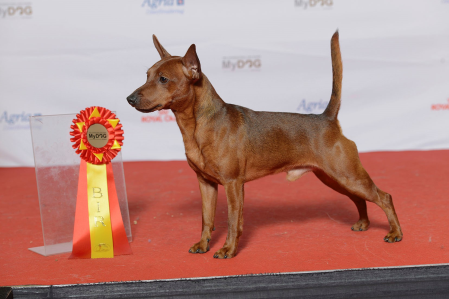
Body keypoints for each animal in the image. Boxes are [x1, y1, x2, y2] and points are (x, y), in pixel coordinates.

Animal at [127, 31, 402, 260]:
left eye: (163, 79)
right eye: (147, 75)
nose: (129, 98)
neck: (197, 125)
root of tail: (327, 118)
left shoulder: (233, 184)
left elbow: (233, 221)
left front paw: (228, 250)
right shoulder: (205, 183)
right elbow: (206, 219)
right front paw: (203, 245)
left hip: (347, 174)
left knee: (384, 197)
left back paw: (395, 233)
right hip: (333, 178)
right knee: (360, 198)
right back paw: (363, 223)